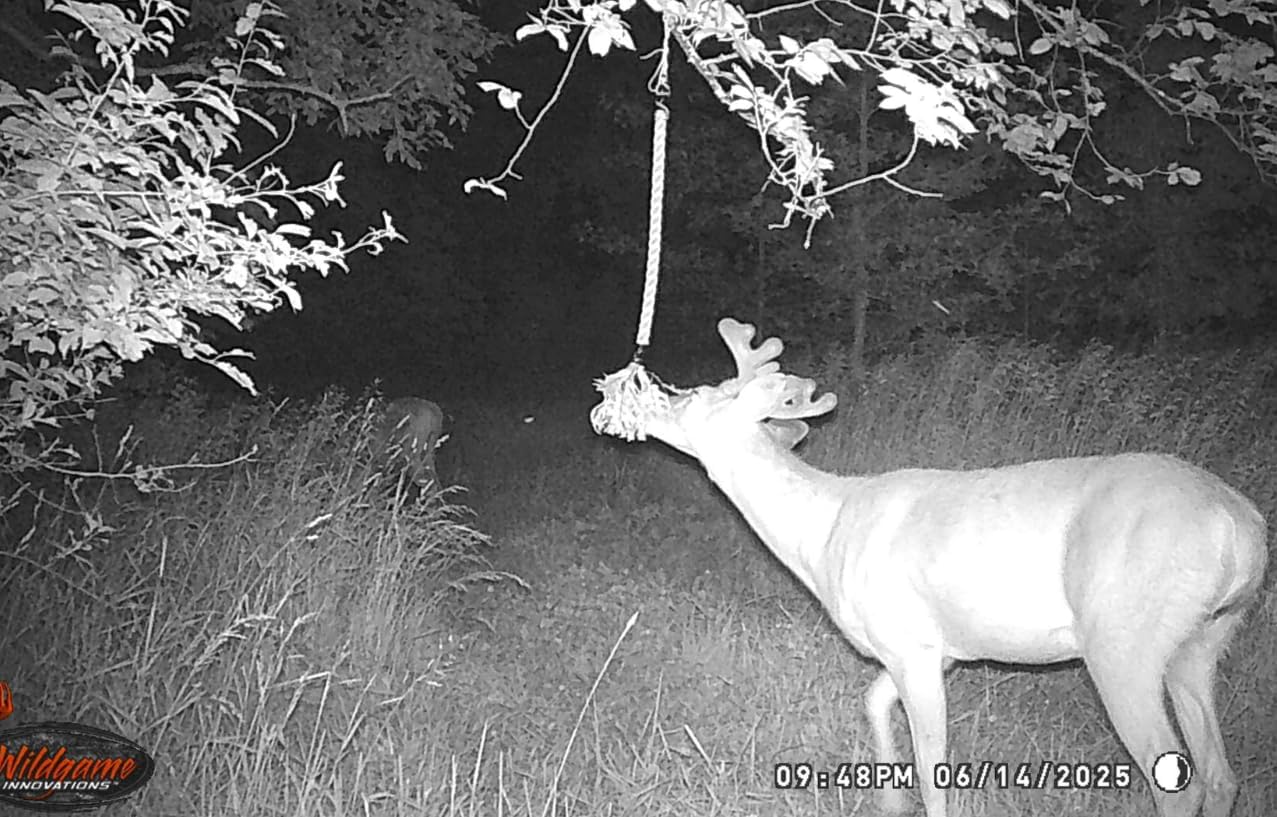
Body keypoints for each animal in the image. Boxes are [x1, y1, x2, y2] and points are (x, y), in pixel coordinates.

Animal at [640, 318, 1268, 817]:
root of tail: (1241, 528)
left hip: (1122, 639)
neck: (824, 534)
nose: (649, 397)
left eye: (694, 397)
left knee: (1179, 781)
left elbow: (933, 768)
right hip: (1201, 642)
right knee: (1220, 775)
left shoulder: (910, 644)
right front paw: (887, 802)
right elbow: (872, 702)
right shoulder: (930, 648)